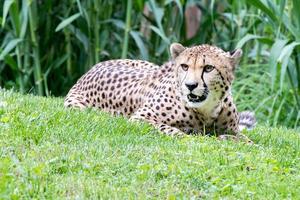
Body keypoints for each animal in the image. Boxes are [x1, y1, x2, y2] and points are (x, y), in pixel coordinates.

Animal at [65, 43, 255, 138]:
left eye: (208, 68)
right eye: (185, 66)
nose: (190, 85)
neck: (207, 110)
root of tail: (92, 68)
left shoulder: (232, 130)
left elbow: (247, 140)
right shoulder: (140, 118)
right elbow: (170, 130)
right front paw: (191, 138)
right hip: (78, 108)